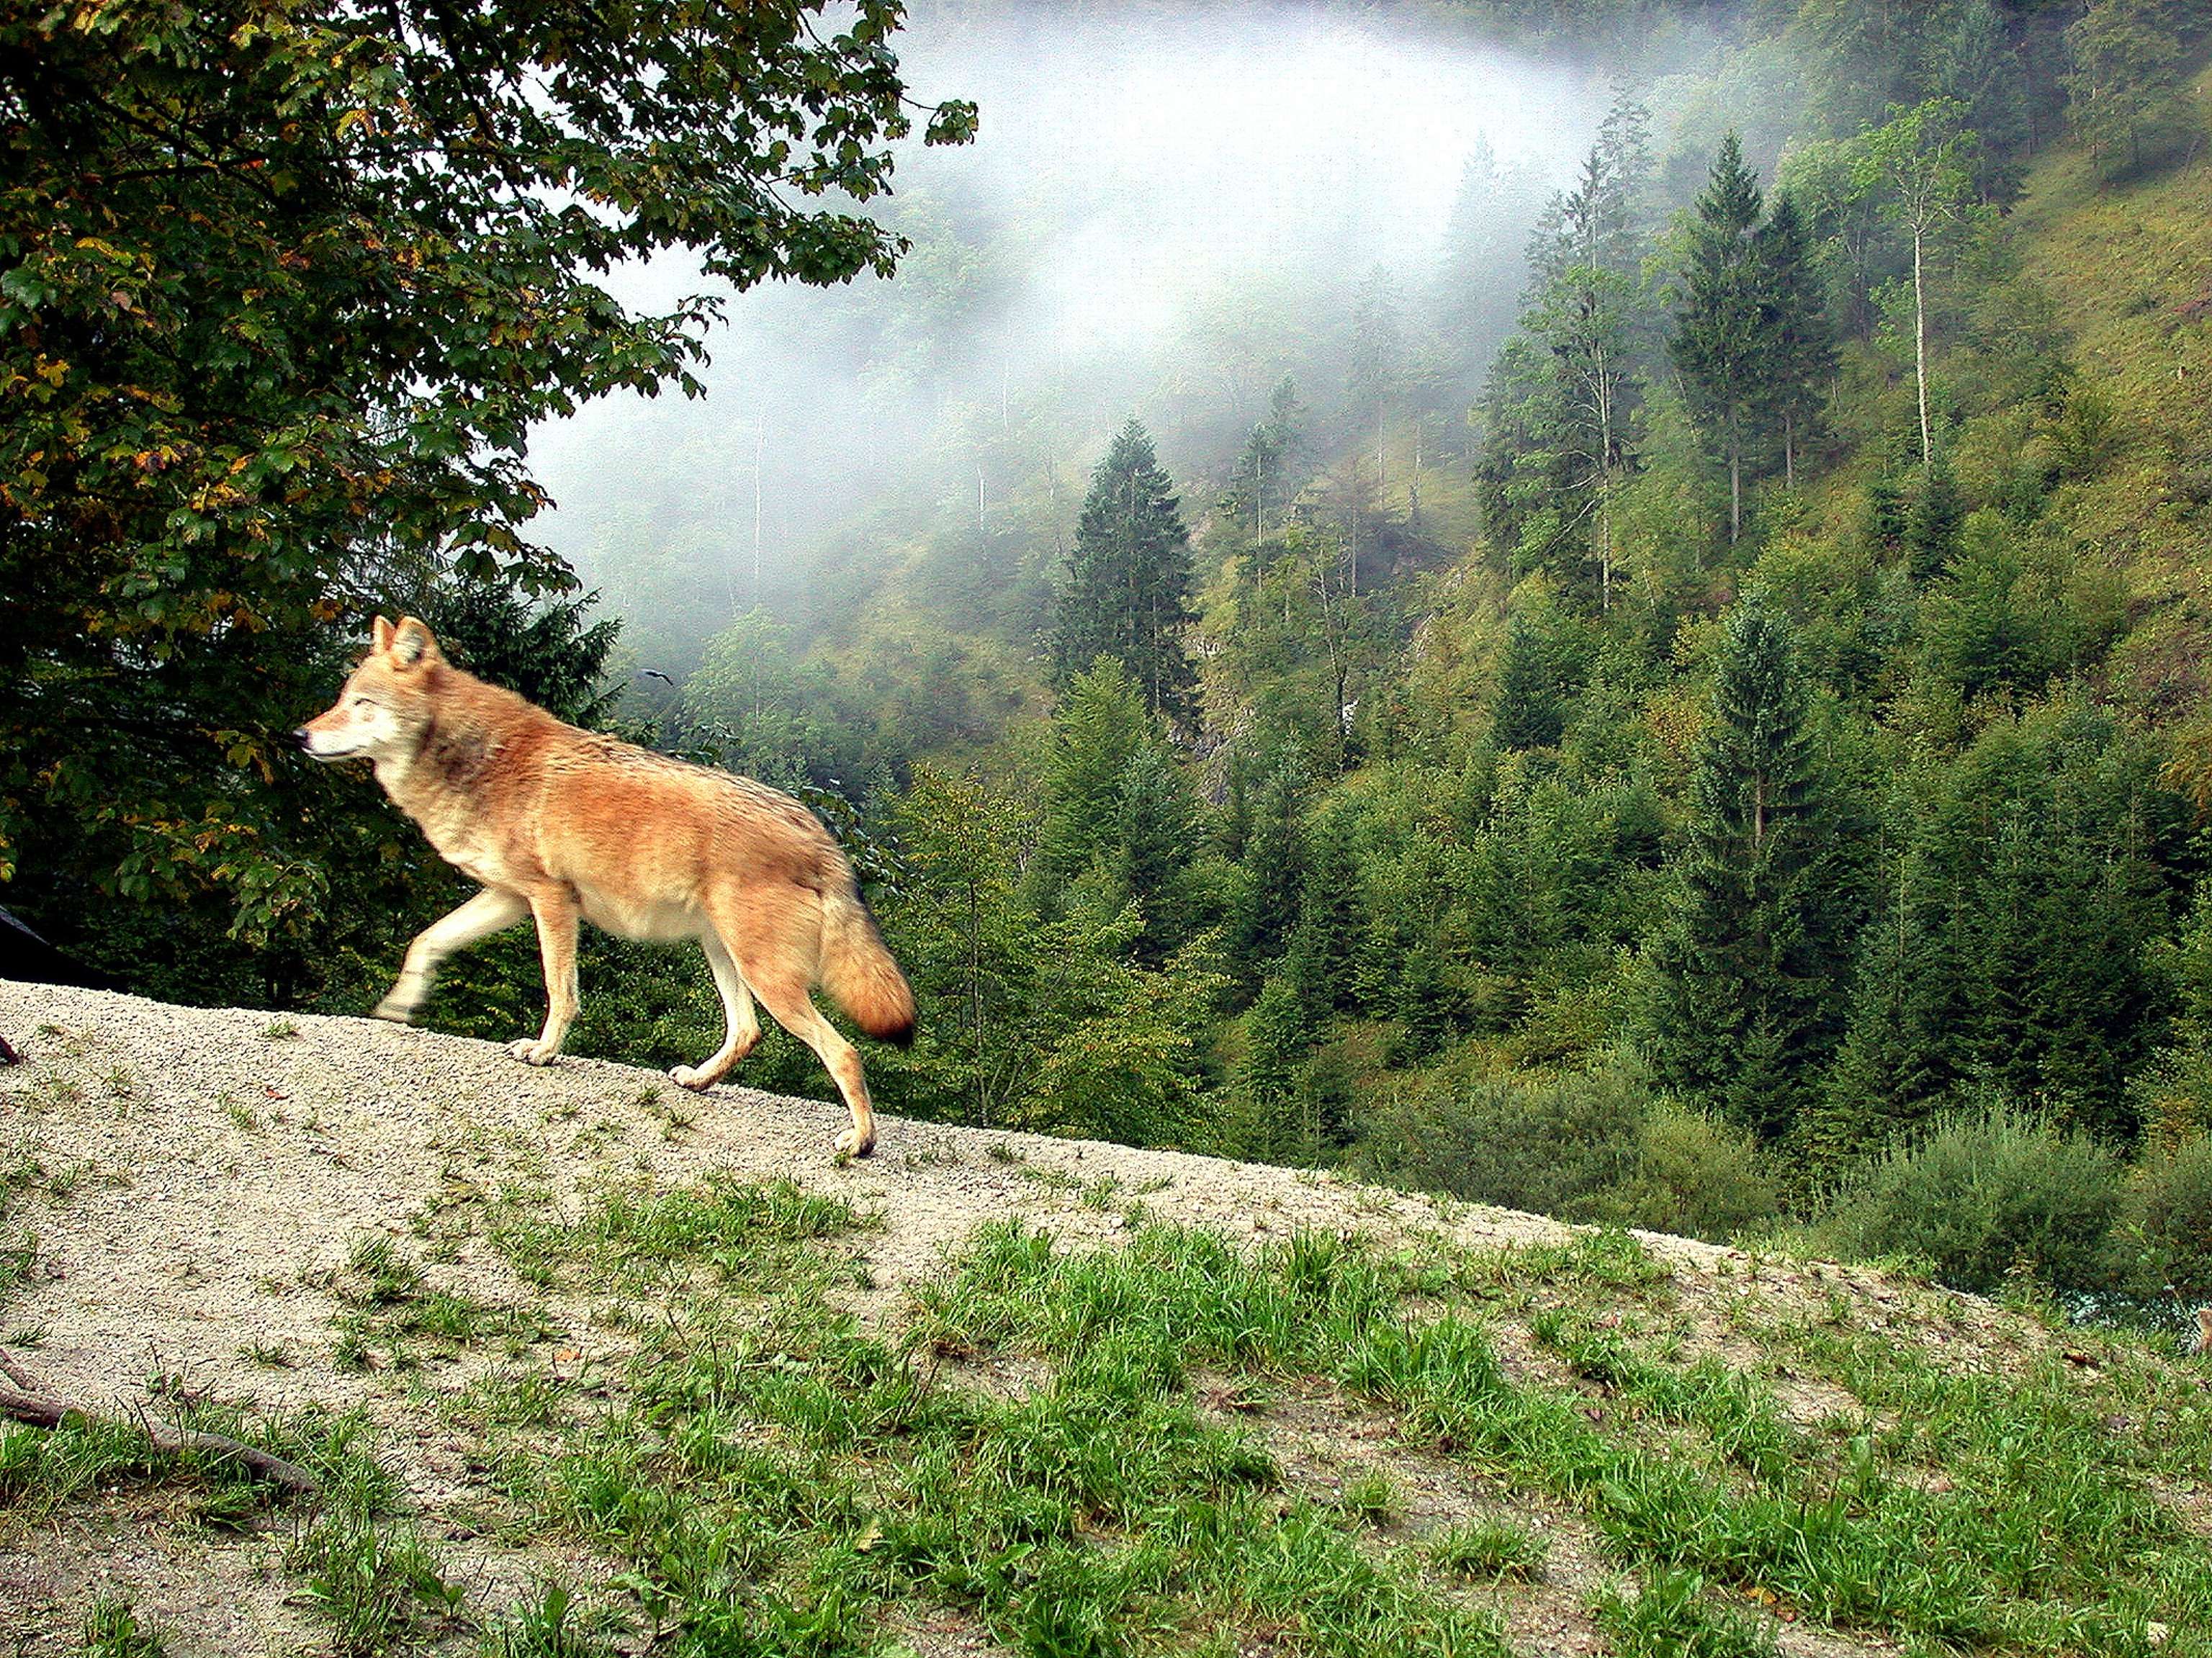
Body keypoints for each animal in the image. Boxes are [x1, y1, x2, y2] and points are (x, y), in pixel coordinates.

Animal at [292, 615, 915, 1157]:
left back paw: (861, 1142)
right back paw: (698, 1081)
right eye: (341, 698)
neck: (480, 759)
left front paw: (543, 1051)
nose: (299, 734)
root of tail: (819, 833)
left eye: (360, 704)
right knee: (748, 1032)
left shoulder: (551, 900)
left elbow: (559, 990)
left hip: (767, 976)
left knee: (844, 1050)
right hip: (723, 955)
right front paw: (398, 1007)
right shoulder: (509, 897)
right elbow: (426, 941)